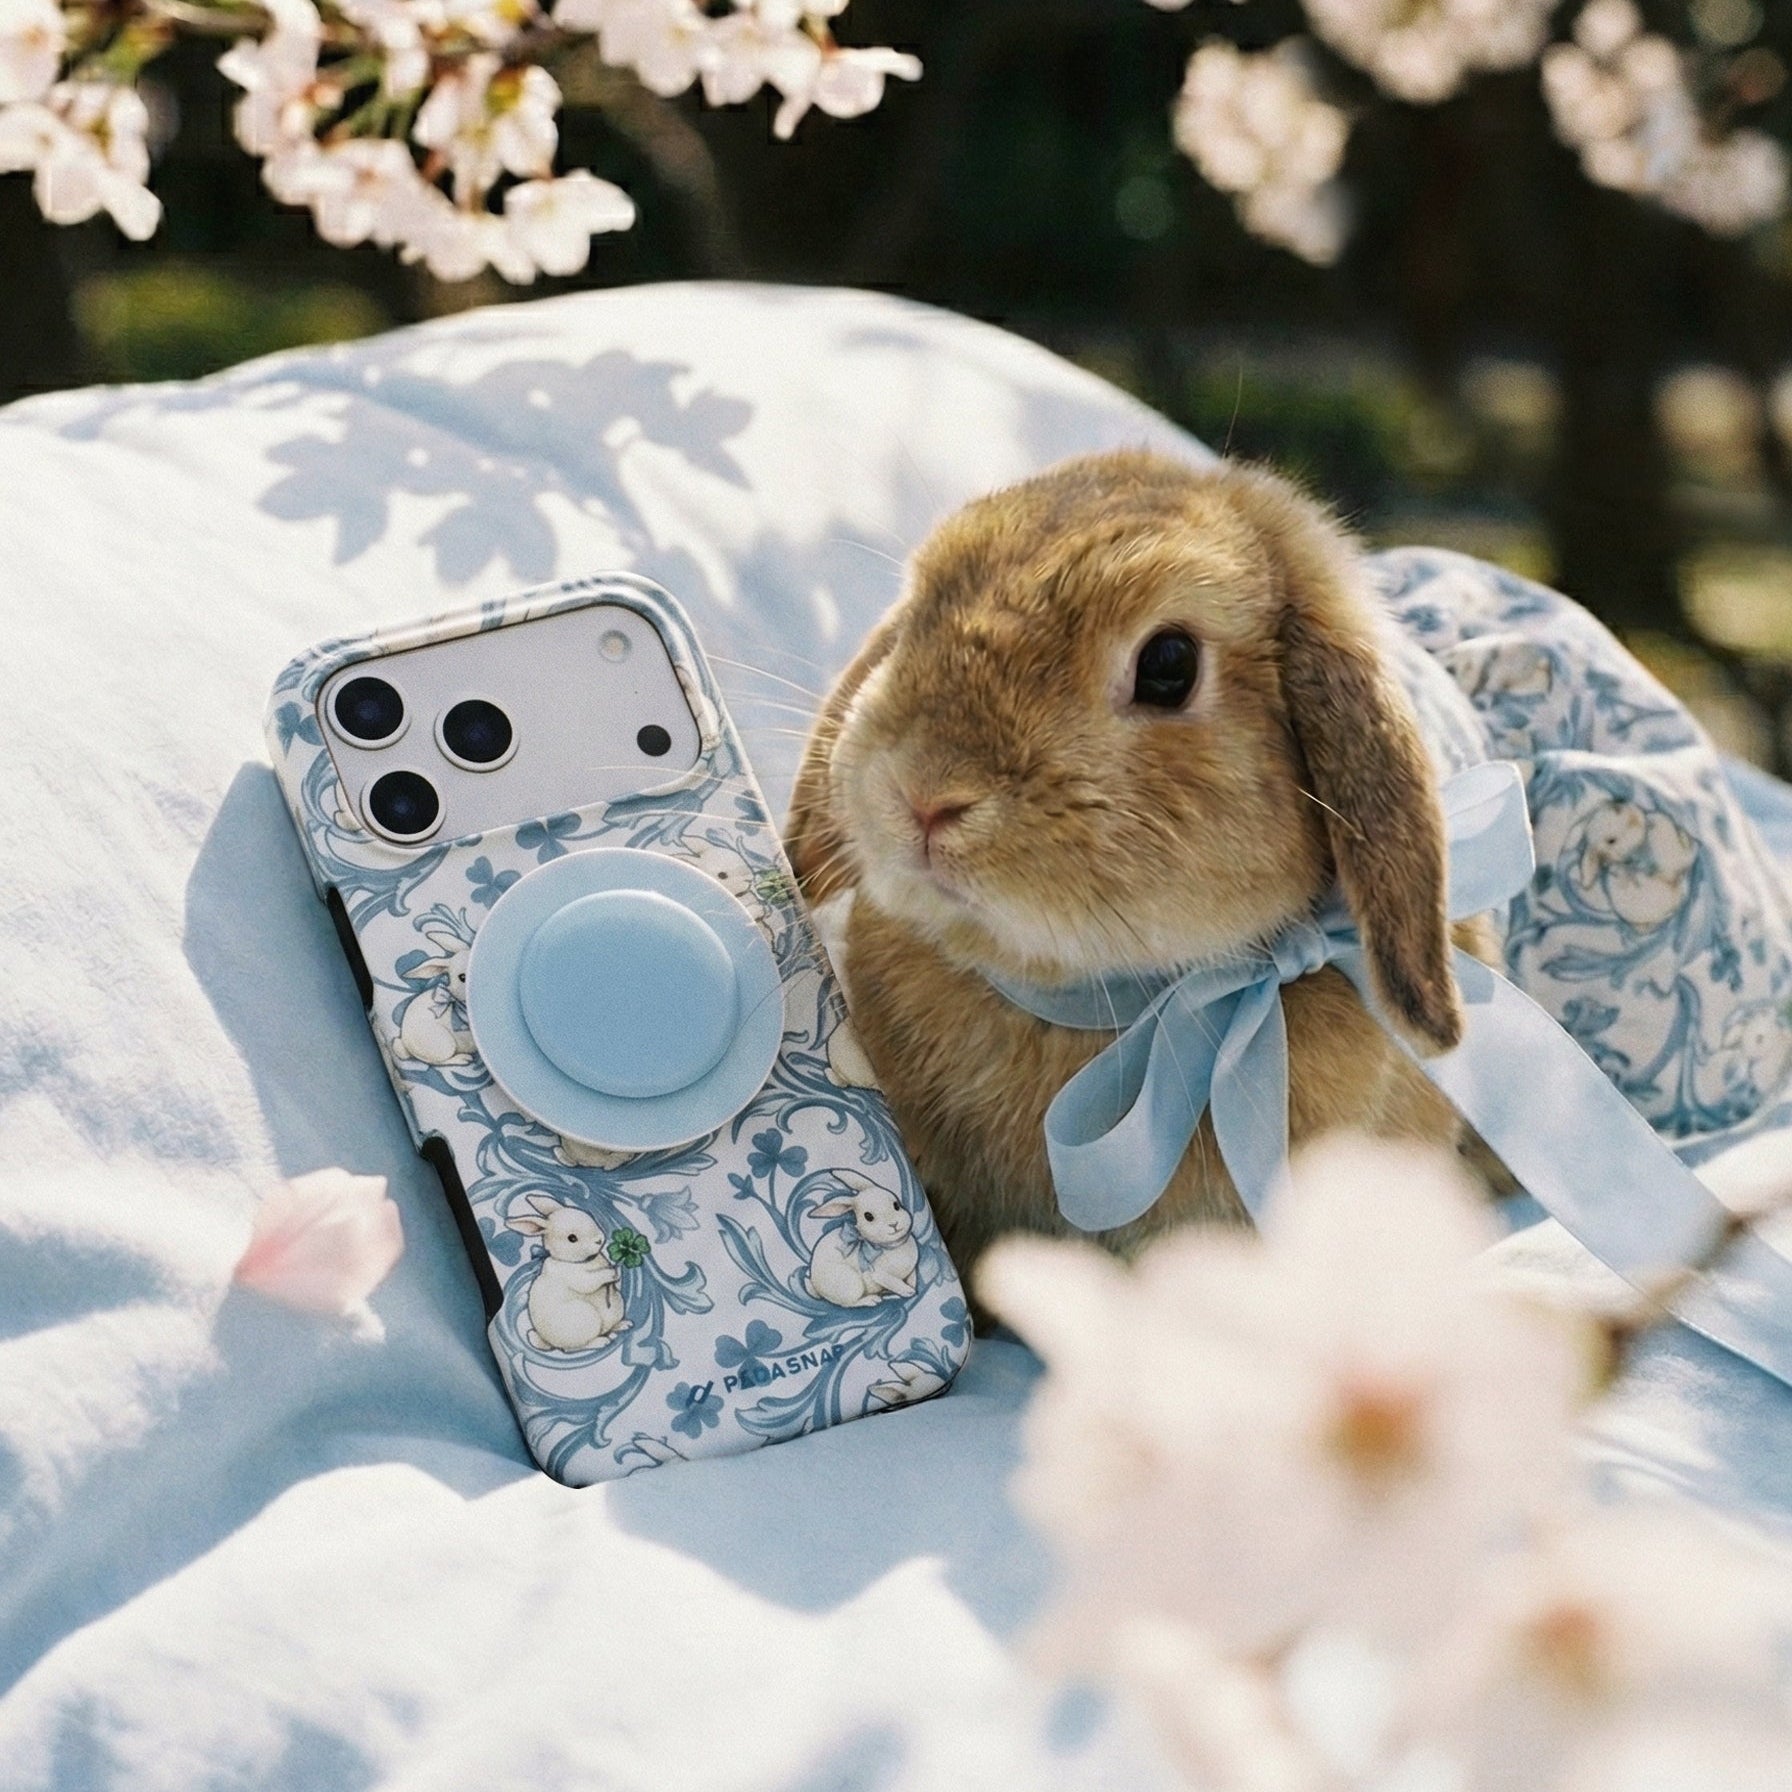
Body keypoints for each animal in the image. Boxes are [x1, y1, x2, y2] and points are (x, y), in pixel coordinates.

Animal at [507, 1194, 632, 1352]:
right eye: (572, 1238)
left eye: (588, 1216)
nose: (599, 1240)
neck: (575, 1261)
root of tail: (549, 1342)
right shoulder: (573, 1276)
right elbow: (589, 1282)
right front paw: (611, 1274)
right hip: (585, 1317)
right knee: (573, 1348)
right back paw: (602, 1342)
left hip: (617, 1305)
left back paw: (623, 1325)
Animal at [805, 1171, 919, 1307]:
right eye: (868, 1216)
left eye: (896, 1205)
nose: (893, 1224)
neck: (893, 1245)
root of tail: (815, 1285)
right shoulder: (879, 1274)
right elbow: (893, 1281)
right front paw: (908, 1291)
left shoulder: (911, 1269)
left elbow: (912, 1277)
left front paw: (912, 1285)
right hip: (851, 1283)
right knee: (848, 1304)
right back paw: (872, 1300)